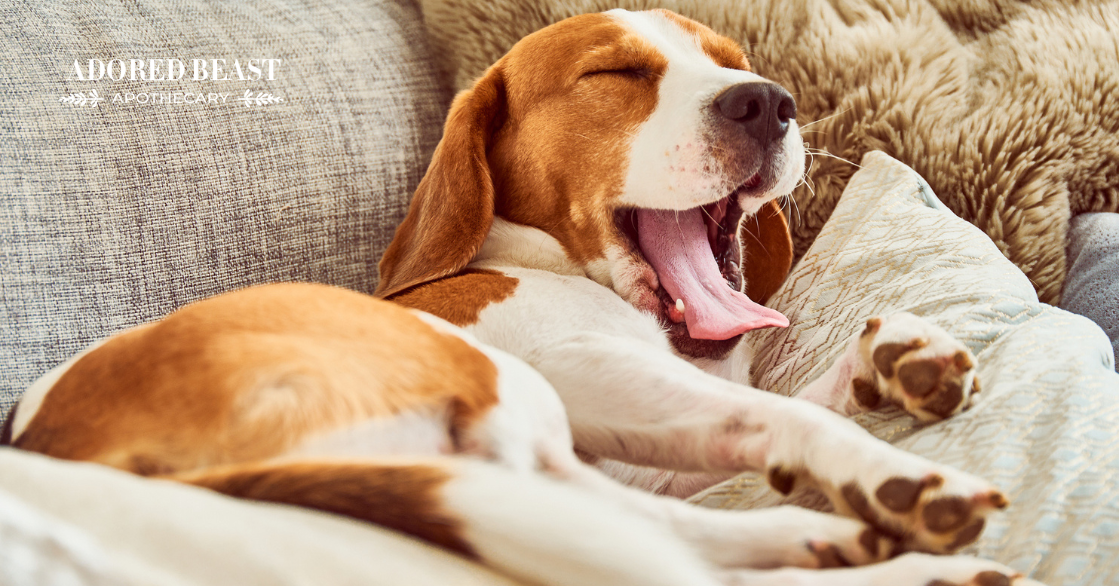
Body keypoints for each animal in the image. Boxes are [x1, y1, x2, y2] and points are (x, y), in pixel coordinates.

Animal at [6, 8, 1038, 586]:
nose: (767, 100)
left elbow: (765, 417)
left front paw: (888, 363)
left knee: (674, 545)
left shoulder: (642, 446)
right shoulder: (580, 368)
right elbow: (778, 416)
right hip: (507, 394)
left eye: (728, 57)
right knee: (668, 561)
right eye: (614, 73)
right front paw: (878, 460)